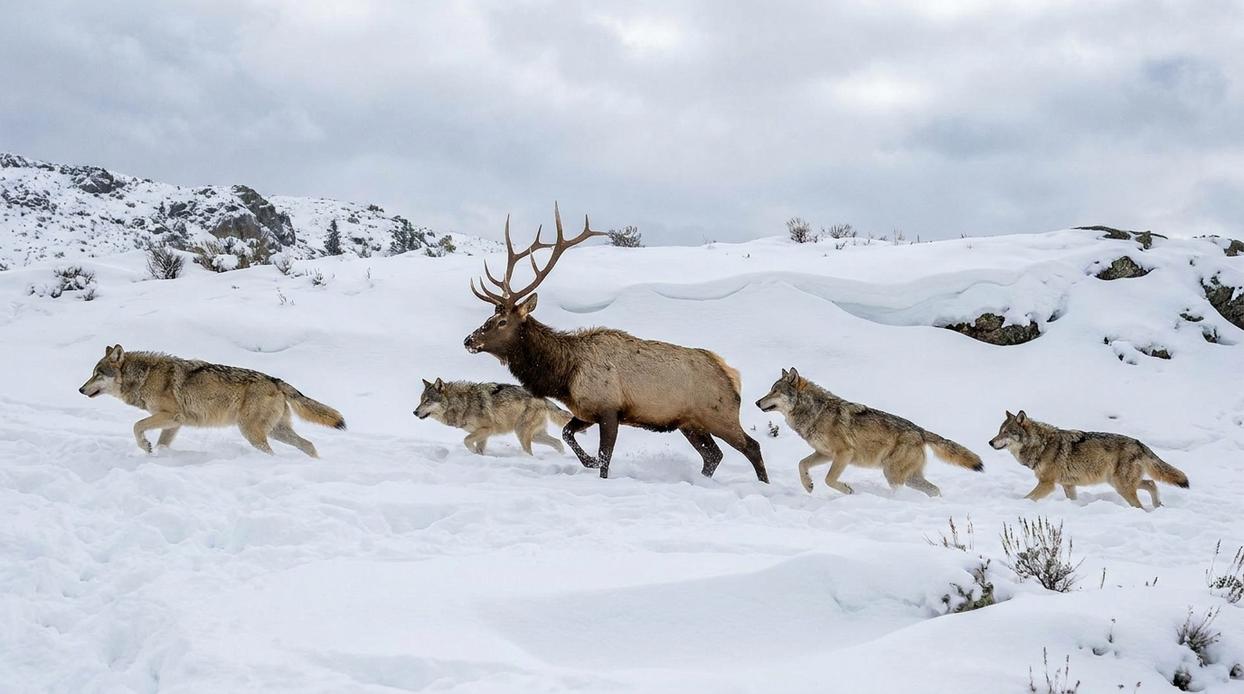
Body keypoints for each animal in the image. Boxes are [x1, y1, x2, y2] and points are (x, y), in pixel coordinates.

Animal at [78, 345, 345, 457]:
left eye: (97, 374)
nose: (80, 389)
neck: (145, 376)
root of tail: (275, 380)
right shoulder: (174, 423)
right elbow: (162, 443)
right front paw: (157, 454)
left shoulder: (170, 416)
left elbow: (136, 427)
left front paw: (146, 446)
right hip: (276, 431)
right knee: (308, 445)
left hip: (252, 432)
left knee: (274, 451)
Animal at [414, 378, 573, 455]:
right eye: (420, 400)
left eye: (427, 401)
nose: (414, 412)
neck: (464, 403)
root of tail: (544, 399)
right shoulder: (482, 434)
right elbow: (477, 448)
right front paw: (478, 456)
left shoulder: (487, 429)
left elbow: (466, 440)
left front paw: (473, 453)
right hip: (535, 436)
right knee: (558, 442)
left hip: (522, 433)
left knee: (532, 451)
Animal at [755, 368, 983, 496]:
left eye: (775, 391)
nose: (757, 402)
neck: (815, 411)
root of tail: (920, 431)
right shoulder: (824, 453)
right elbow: (801, 464)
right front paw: (808, 486)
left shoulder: (844, 453)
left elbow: (829, 479)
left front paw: (848, 490)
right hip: (907, 476)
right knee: (935, 490)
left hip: (892, 473)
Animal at [989, 410, 1187, 509]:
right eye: (999, 431)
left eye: (1006, 432)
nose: (990, 442)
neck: (1042, 444)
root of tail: (1139, 443)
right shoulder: (1068, 485)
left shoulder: (1047, 484)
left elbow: (1027, 498)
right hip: (1120, 483)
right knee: (1152, 483)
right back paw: (1158, 506)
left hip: (1121, 486)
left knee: (1141, 502)